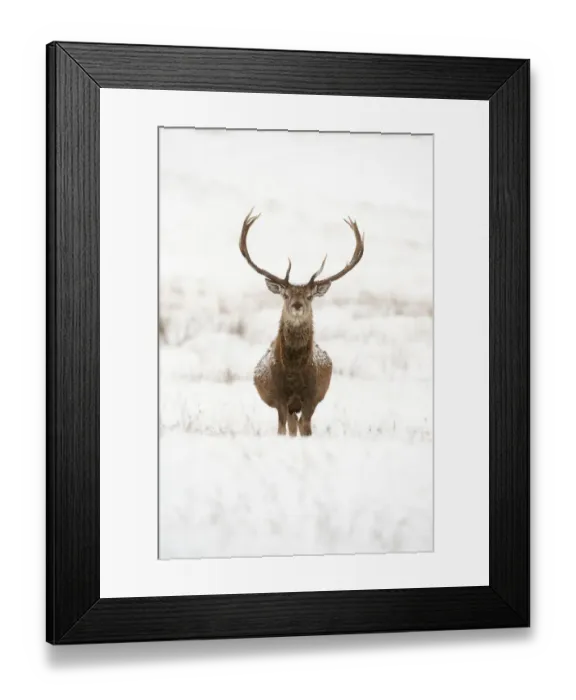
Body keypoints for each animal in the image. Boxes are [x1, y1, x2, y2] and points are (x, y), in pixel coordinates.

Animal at [240, 210, 365, 437]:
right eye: (285, 294)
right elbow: (282, 429)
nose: (297, 305)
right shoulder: (279, 398)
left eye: (309, 296)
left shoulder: (312, 398)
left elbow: (306, 428)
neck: (294, 373)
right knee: (291, 424)